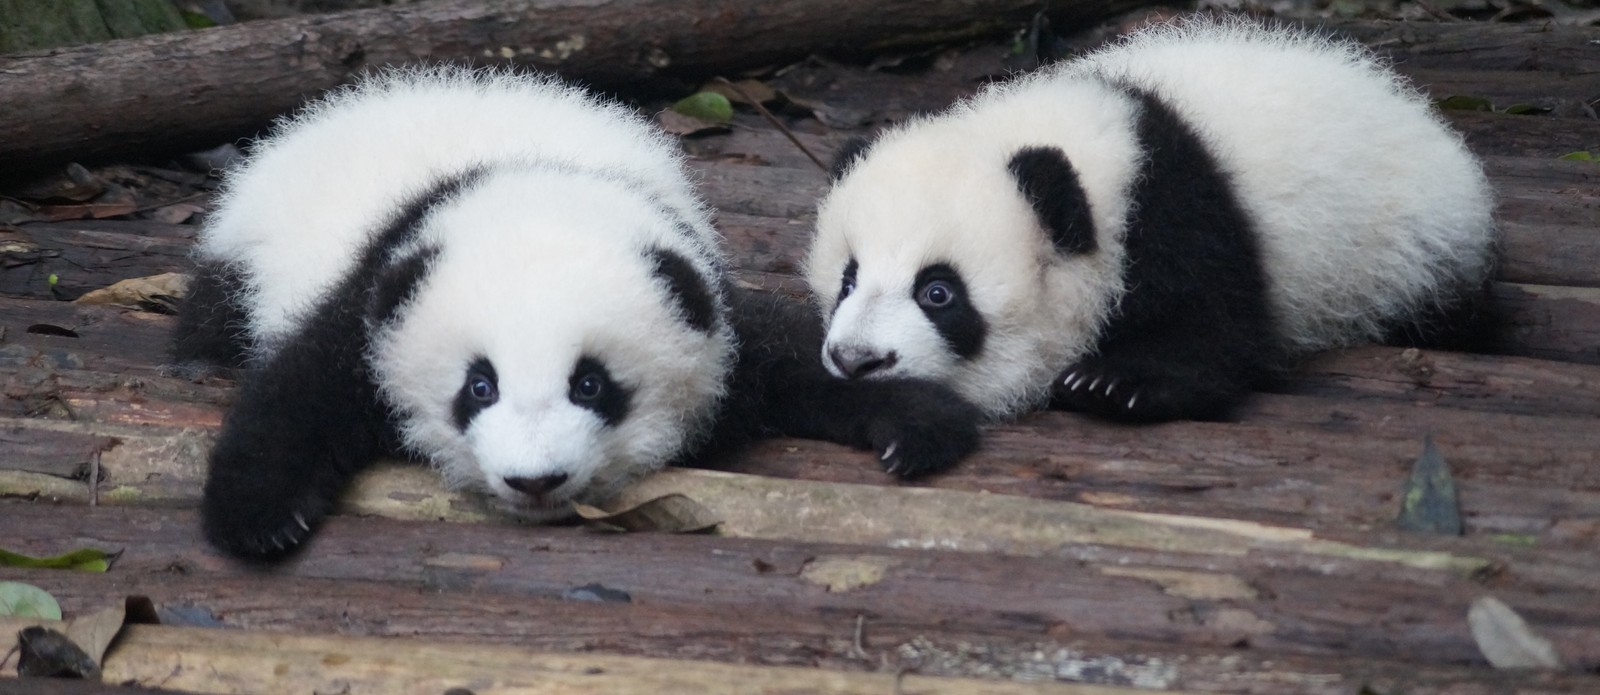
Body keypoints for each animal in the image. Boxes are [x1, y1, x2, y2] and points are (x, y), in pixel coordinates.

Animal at [174, 66, 982, 560]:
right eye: (479, 387)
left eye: (592, 385)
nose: (535, 481)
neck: (537, 182)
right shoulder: (381, 287)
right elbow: (301, 388)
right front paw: (260, 518)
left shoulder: (699, 289)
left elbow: (791, 355)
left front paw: (916, 422)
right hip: (242, 254)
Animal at [807, 16, 1497, 422]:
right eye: (848, 279)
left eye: (938, 292)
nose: (856, 360)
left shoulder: (1177, 209)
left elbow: (1216, 327)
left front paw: (1114, 384)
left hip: (1412, 251)